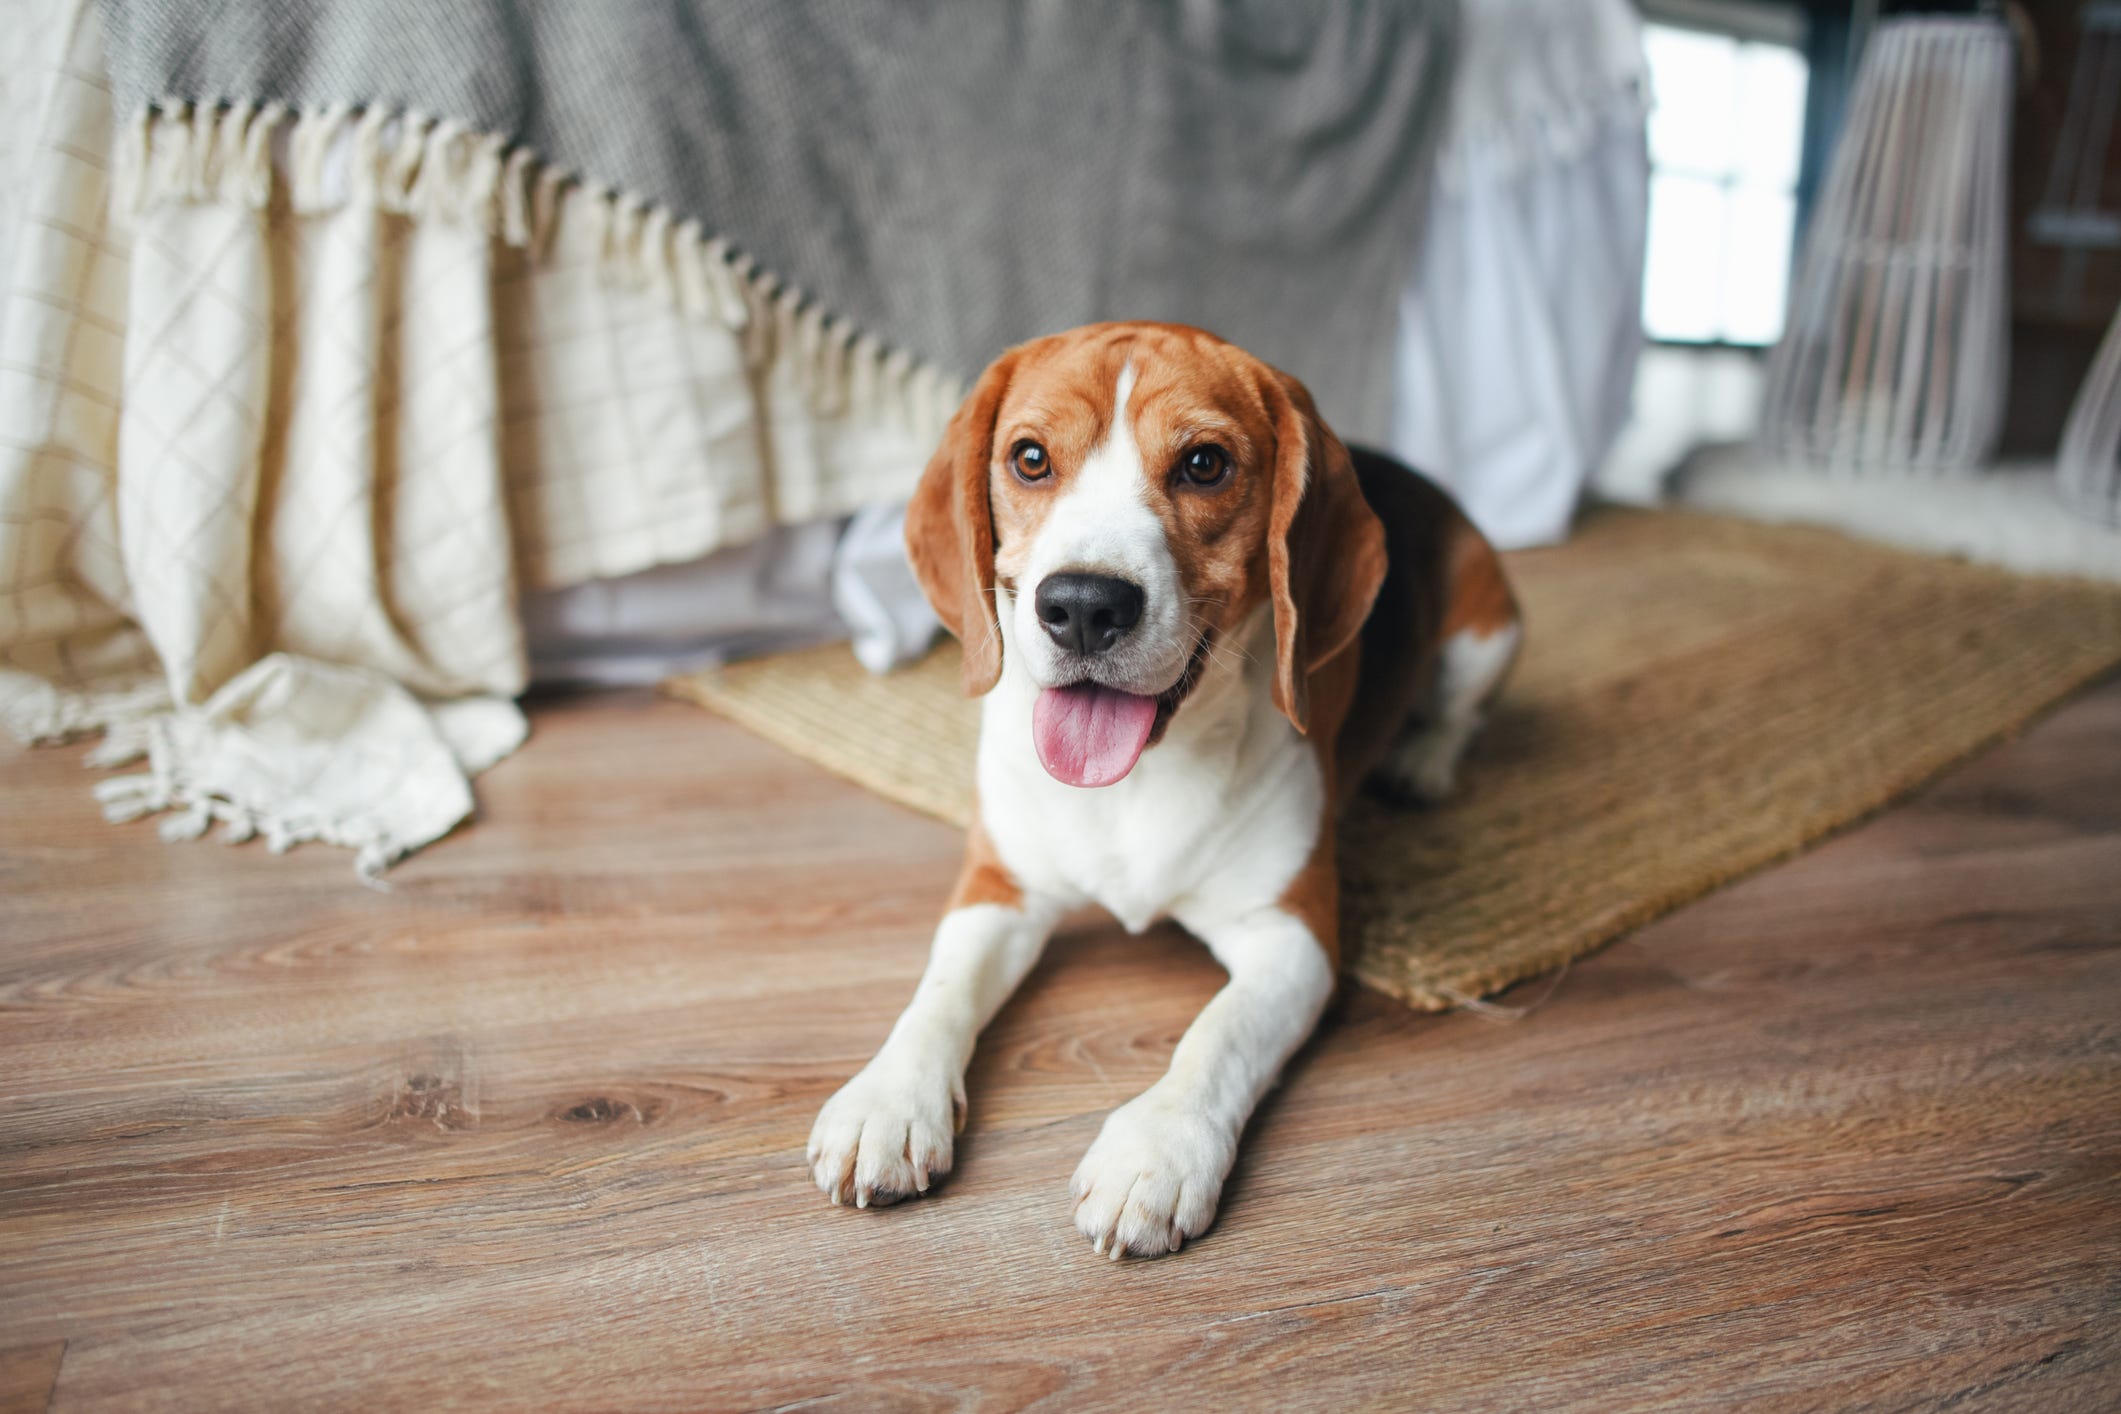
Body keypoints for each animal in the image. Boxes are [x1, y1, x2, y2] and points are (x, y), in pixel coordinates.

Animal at [801, 324, 1518, 1263]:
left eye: (1204, 464)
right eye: (1029, 458)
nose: (1081, 605)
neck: (1137, 777)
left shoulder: (1293, 935)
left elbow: (1217, 1034)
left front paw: (1158, 1151)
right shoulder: (998, 889)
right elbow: (940, 989)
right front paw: (889, 1098)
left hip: (1486, 633)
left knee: (1461, 714)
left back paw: (1423, 760)